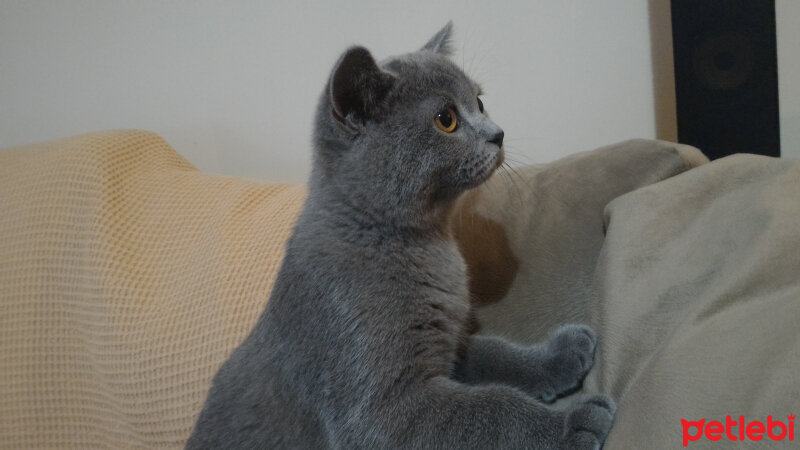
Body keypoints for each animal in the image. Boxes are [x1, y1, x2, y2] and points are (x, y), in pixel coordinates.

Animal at [186, 24, 612, 450]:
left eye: (478, 102)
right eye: (446, 119)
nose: (498, 133)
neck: (426, 245)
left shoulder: (450, 342)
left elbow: (495, 352)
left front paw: (559, 356)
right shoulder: (380, 412)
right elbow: (491, 409)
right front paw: (569, 424)